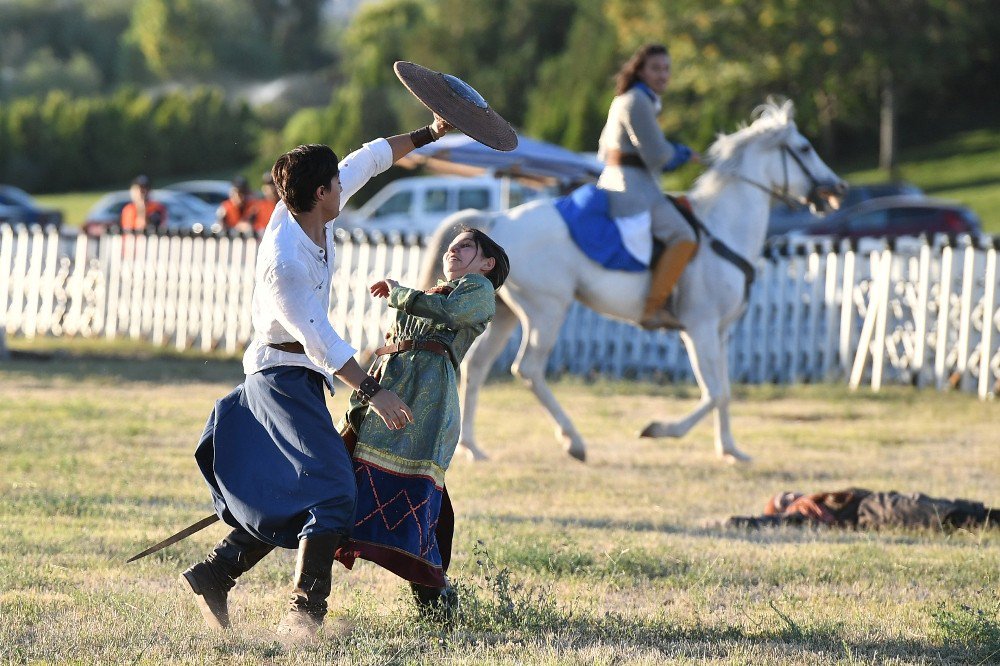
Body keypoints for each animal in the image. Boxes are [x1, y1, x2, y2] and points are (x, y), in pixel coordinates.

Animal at [422, 100, 844, 462]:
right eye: (805, 148)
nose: (837, 189)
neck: (723, 229)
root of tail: (499, 220)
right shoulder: (699, 328)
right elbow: (713, 392)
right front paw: (659, 429)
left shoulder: (721, 332)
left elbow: (724, 393)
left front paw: (730, 450)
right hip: (547, 310)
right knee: (528, 369)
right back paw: (573, 441)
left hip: (506, 313)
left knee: (476, 366)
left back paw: (472, 446)